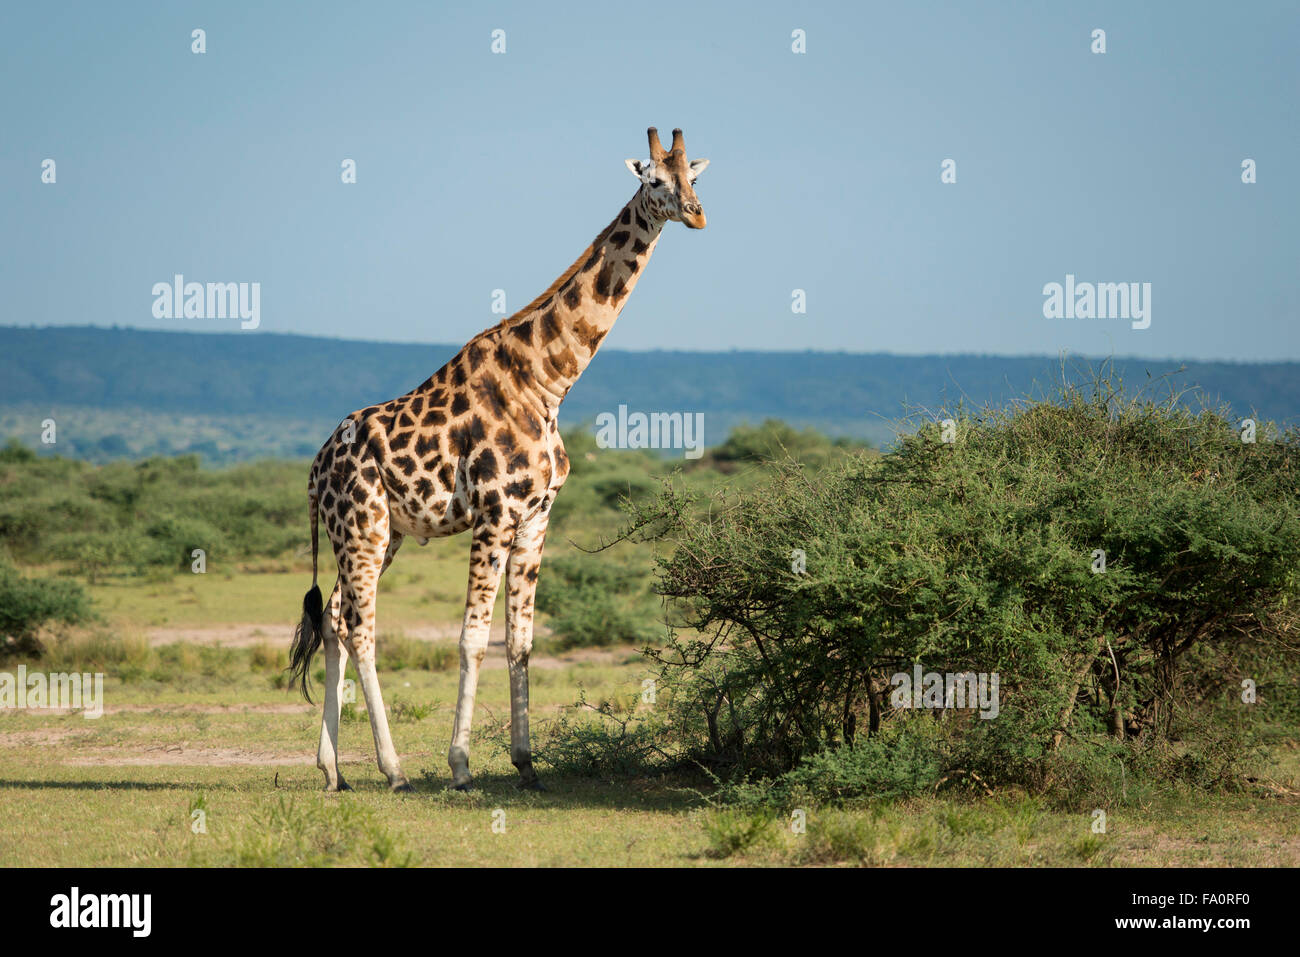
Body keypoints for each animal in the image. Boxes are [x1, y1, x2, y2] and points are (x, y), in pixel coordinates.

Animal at [292, 127, 712, 790]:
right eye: (652, 180)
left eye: (693, 177)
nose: (696, 214)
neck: (548, 380)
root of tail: (313, 471)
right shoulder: (493, 513)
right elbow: (472, 640)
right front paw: (462, 766)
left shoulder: (537, 515)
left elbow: (520, 641)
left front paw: (526, 763)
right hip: (361, 526)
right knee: (360, 628)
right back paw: (394, 770)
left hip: (380, 533)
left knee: (332, 617)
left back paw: (334, 771)